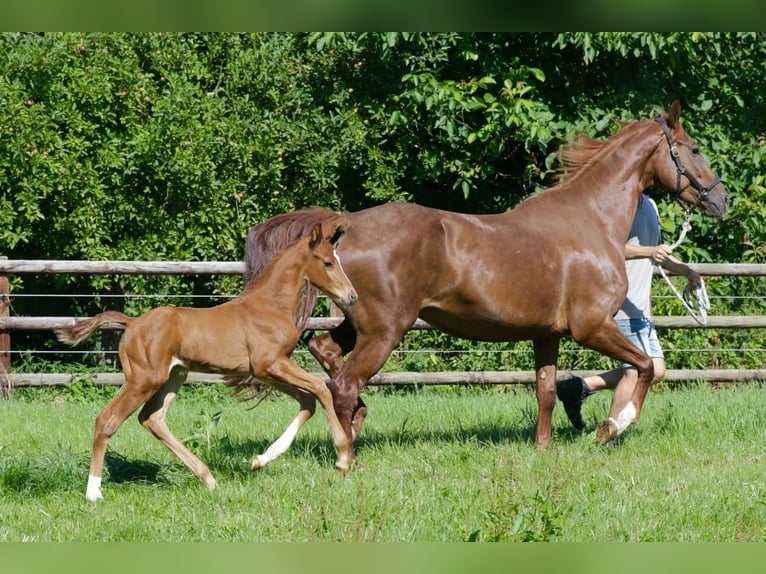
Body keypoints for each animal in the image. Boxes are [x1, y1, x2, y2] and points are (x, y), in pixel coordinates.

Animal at [57, 218, 356, 502]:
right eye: (328, 262)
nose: (351, 296)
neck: (269, 305)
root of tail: (132, 323)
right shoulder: (270, 364)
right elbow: (321, 389)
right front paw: (343, 458)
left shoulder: (265, 371)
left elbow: (308, 400)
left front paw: (261, 459)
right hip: (143, 379)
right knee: (107, 420)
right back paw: (94, 492)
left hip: (174, 376)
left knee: (152, 419)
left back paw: (208, 478)